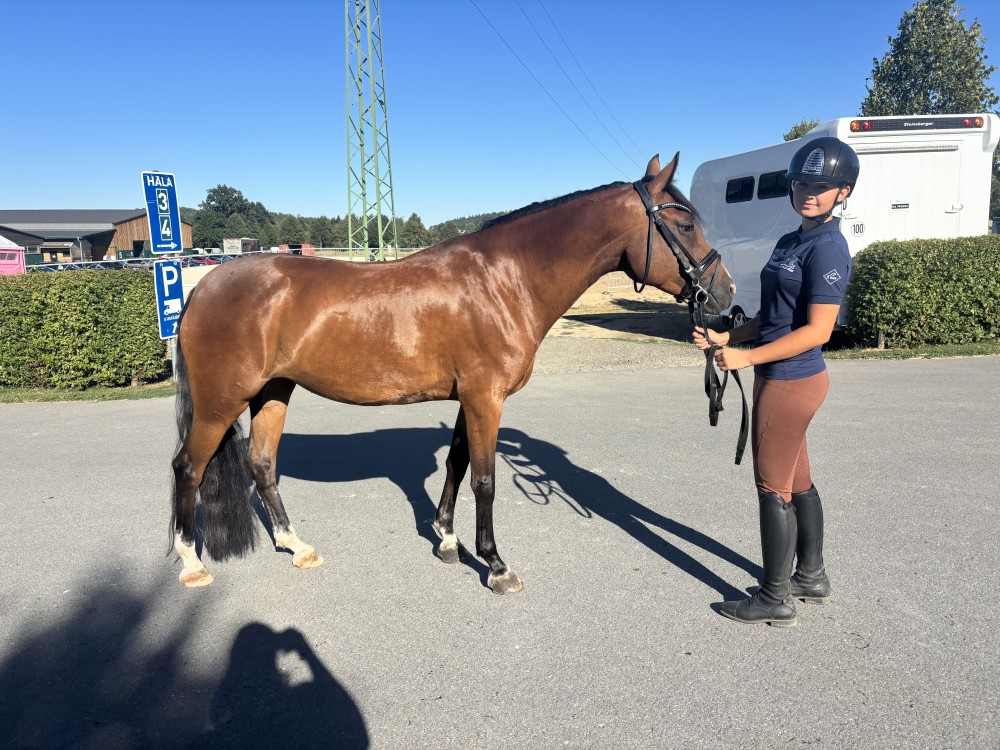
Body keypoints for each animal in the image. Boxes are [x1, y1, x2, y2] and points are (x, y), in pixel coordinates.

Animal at [169, 153, 735, 593]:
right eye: (685, 224)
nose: (726, 296)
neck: (504, 280)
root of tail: (204, 286)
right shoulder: (486, 398)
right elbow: (484, 480)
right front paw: (496, 565)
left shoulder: (469, 398)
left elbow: (457, 464)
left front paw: (446, 539)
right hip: (221, 403)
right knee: (188, 468)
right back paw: (192, 563)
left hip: (272, 393)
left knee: (262, 465)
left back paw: (296, 546)